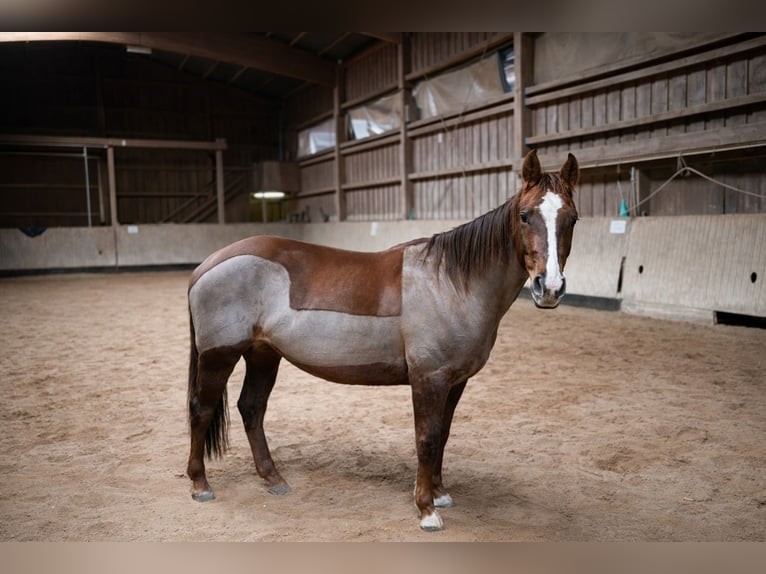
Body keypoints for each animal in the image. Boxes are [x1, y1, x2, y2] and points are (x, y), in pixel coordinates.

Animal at [186, 149, 579, 531]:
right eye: (525, 216)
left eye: (572, 219)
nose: (549, 288)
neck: (450, 282)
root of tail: (207, 265)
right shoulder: (428, 379)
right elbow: (426, 439)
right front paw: (426, 509)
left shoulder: (456, 381)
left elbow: (443, 434)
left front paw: (439, 494)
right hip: (219, 357)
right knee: (201, 410)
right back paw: (200, 484)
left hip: (263, 355)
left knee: (252, 409)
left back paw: (272, 478)